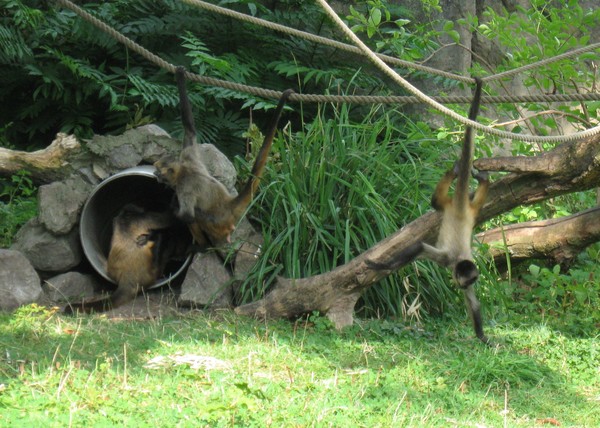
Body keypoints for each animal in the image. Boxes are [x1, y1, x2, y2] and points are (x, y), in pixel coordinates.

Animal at [155, 67, 296, 247]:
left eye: (159, 172)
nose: (155, 175)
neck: (182, 170)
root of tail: (229, 204)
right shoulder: (188, 156)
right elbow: (190, 130)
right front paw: (180, 75)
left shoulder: (183, 186)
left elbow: (188, 215)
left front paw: (172, 206)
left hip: (217, 223)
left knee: (197, 216)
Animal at [368, 77, 490, 344]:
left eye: (471, 280)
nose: (462, 285)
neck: (459, 262)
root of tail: (461, 207)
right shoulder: (447, 259)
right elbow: (419, 247)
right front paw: (382, 267)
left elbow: (474, 303)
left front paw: (483, 337)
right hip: (447, 205)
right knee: (435, 202)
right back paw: (455, 172)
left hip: (473, 210)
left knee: (476, 199)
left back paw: (482, 179)